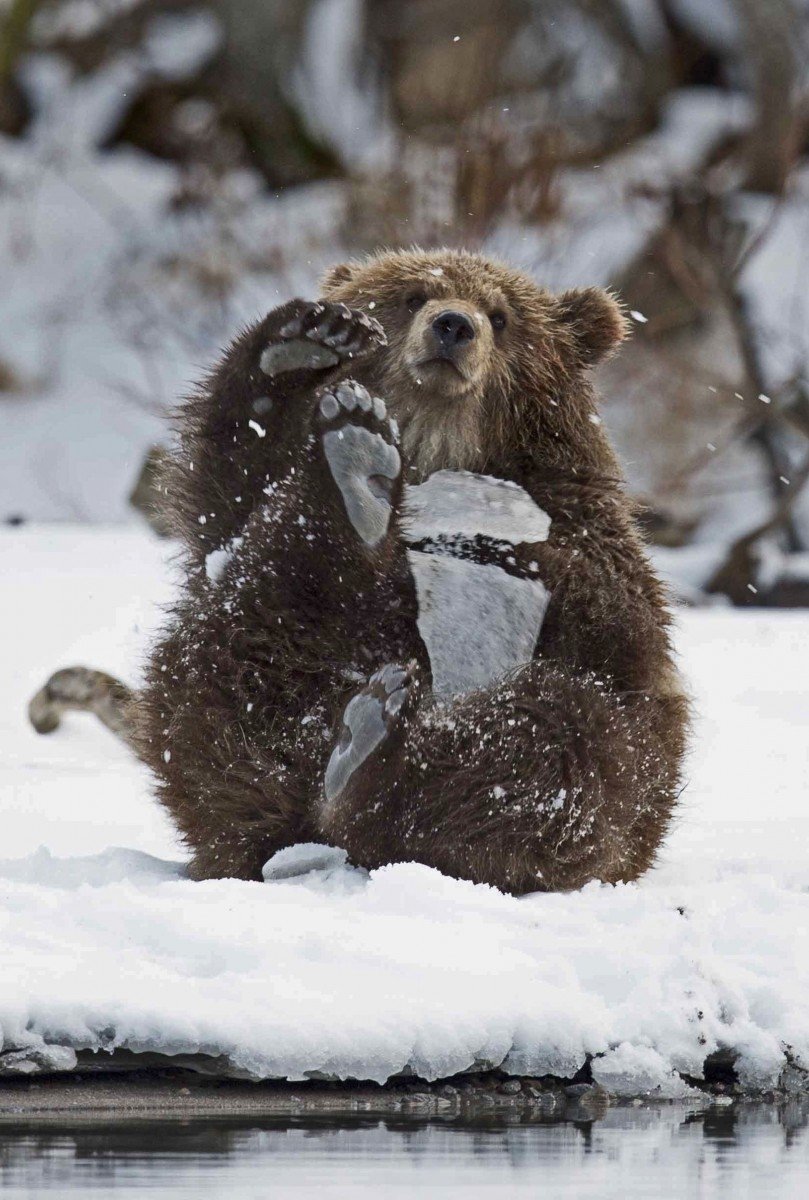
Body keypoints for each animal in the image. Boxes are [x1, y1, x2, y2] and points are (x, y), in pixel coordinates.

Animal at [28, 248, 689, 894]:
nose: (455, 326)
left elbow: (602, 612)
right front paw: (298, 348)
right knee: (232, 663)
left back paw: (371, 756)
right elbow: (226, 498)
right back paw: (352, 478)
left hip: (621, 785)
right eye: (414, 296)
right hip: (259, 696)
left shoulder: (584, 524)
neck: (439, 448)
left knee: (559, 742)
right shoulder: (229, 517)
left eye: (502, 316)